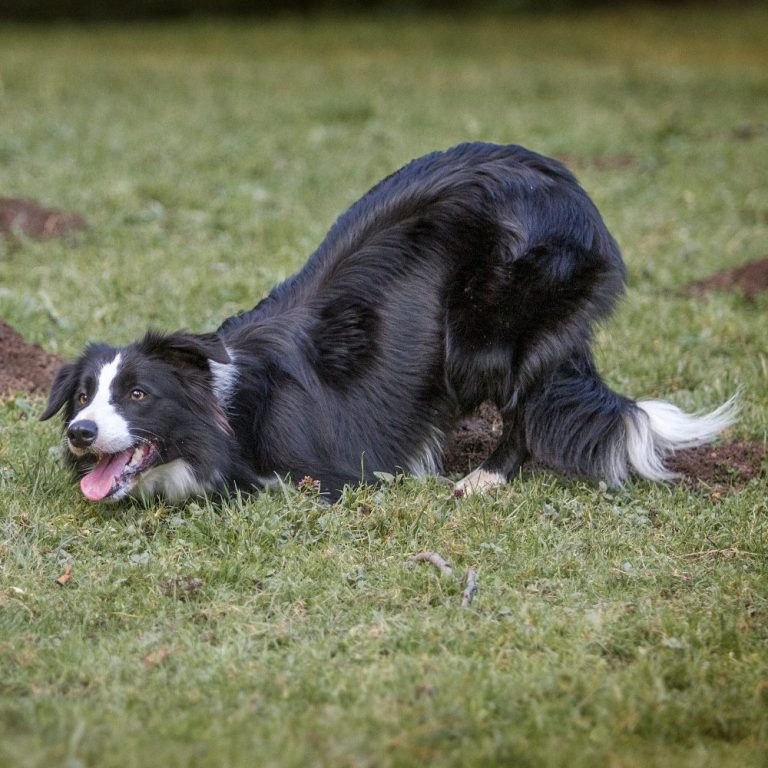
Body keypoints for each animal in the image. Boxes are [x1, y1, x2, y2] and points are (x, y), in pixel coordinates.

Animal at [40, 142, 732, 504]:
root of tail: (566, 182)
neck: (223, 411)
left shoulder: (321, 477)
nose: (79, 432)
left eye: (138, 394)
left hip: (488, 324)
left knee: (522, 399)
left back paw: (483, 477)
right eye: (82, 397)